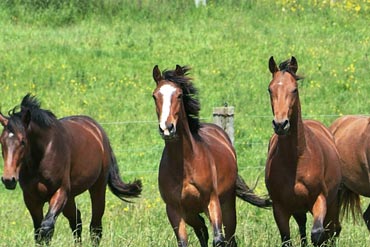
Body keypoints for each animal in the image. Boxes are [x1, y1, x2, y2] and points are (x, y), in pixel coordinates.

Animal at [0, 94, 142, 245]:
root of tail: (98, 131)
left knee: (95, 226)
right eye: (1, 141)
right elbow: (39, 232)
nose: (8, 179)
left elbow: (46, 227)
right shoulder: (31, 198)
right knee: (76, 221)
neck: (43, 155)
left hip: (97, 187)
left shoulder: (60, 191)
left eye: (23, 141)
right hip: (70, 197)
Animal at [151, 64, 272, 247]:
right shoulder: (174, 210)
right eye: (155, 96)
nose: (167, 128)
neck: (186, 165)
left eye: (179, 95)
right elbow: (185, 241)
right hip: (191, 213)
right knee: (202, 230)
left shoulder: (212, 201)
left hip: (227, 205)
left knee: (228, 237)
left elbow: (218, 239)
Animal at [264, 57, 342, 246]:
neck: (296, 159)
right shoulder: (280, 208)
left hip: (332, 202)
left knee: (332, 229)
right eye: (270, 89)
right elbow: (287, 238)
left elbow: (317, 233)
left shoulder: (319, 199)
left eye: (294, 89)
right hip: (298, 207)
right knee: (302, 226)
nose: (280, 124)